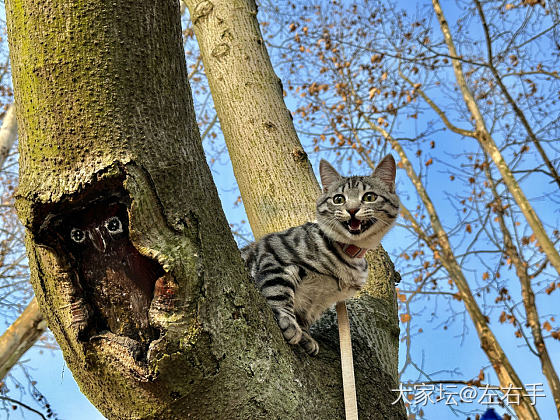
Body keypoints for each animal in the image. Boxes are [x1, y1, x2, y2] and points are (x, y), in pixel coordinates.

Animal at [241, 154, 398, 354]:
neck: (346, 255)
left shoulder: (315, 303)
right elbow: (278, 292)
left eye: (369, 197)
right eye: (338, 199)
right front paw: (289, 322)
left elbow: (303, 319)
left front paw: (305, 336)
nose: (352, 209)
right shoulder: (274, 254)